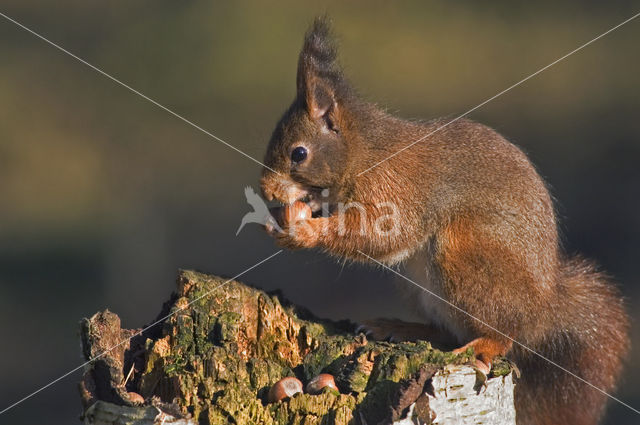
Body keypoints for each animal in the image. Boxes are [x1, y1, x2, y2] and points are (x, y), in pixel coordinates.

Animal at [260, 17, 632, 424]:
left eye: (298, 154)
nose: (264, 190)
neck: (363, 154)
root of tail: (543, 312)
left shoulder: (396, 190)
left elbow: (381, 234)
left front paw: (305, 230)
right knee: (449, 331)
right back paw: (398, 327)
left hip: (463, 255)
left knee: (501, 334)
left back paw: (482, 344)